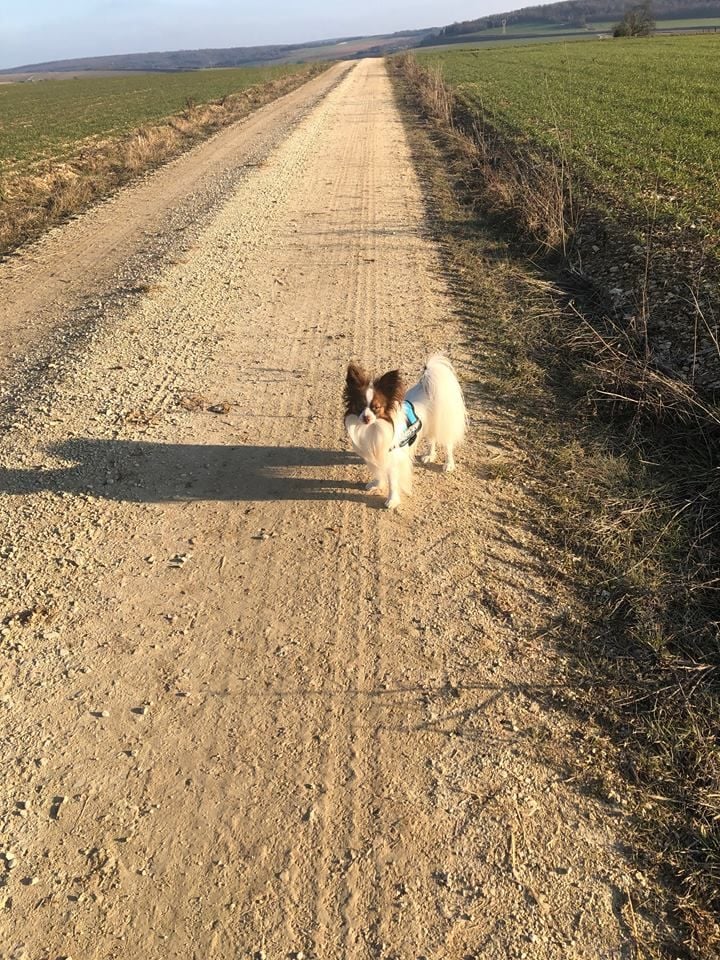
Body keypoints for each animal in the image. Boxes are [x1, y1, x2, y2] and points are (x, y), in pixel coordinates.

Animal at [344, 354, 466, 510]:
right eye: (360, 406)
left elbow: (392, 482)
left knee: (448, 445)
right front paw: (377, 484)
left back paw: (449, 464)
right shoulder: (375, 454)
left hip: (442, 423)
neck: (374, 427)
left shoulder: (393, 458)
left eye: (376, 407)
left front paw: (392, 500)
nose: (366, 418)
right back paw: (429, 455)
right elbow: (378, 472)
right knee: (432, 439)